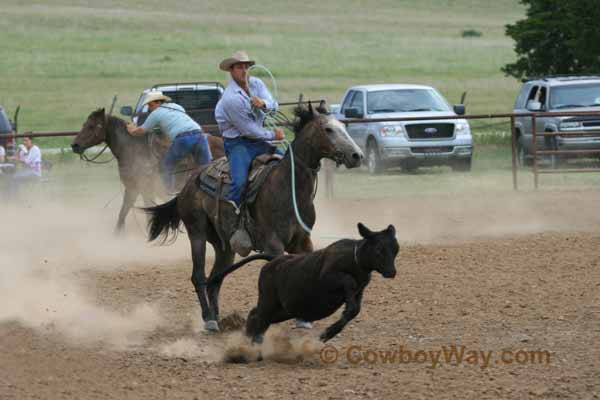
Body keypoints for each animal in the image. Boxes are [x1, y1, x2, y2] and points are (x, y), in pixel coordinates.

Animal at [71, 109, 224, 233]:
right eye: (84, 124)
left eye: (91, 126)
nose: (74, 145)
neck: (133, 148)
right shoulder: (132, 188)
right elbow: (123, 213)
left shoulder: (145, 189)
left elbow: (148, 211)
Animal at [144, 103, 366, 332]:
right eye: (327, 129)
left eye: (342, 126)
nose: (357, 155)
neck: (288, 187)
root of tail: (188, 183)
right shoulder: (273, 245)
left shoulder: (303, 241)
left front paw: (303, 318)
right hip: (197, 234)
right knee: (199, 276)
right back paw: (209, 319)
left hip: (224, 246)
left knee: (215, 279)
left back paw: (217, 317)